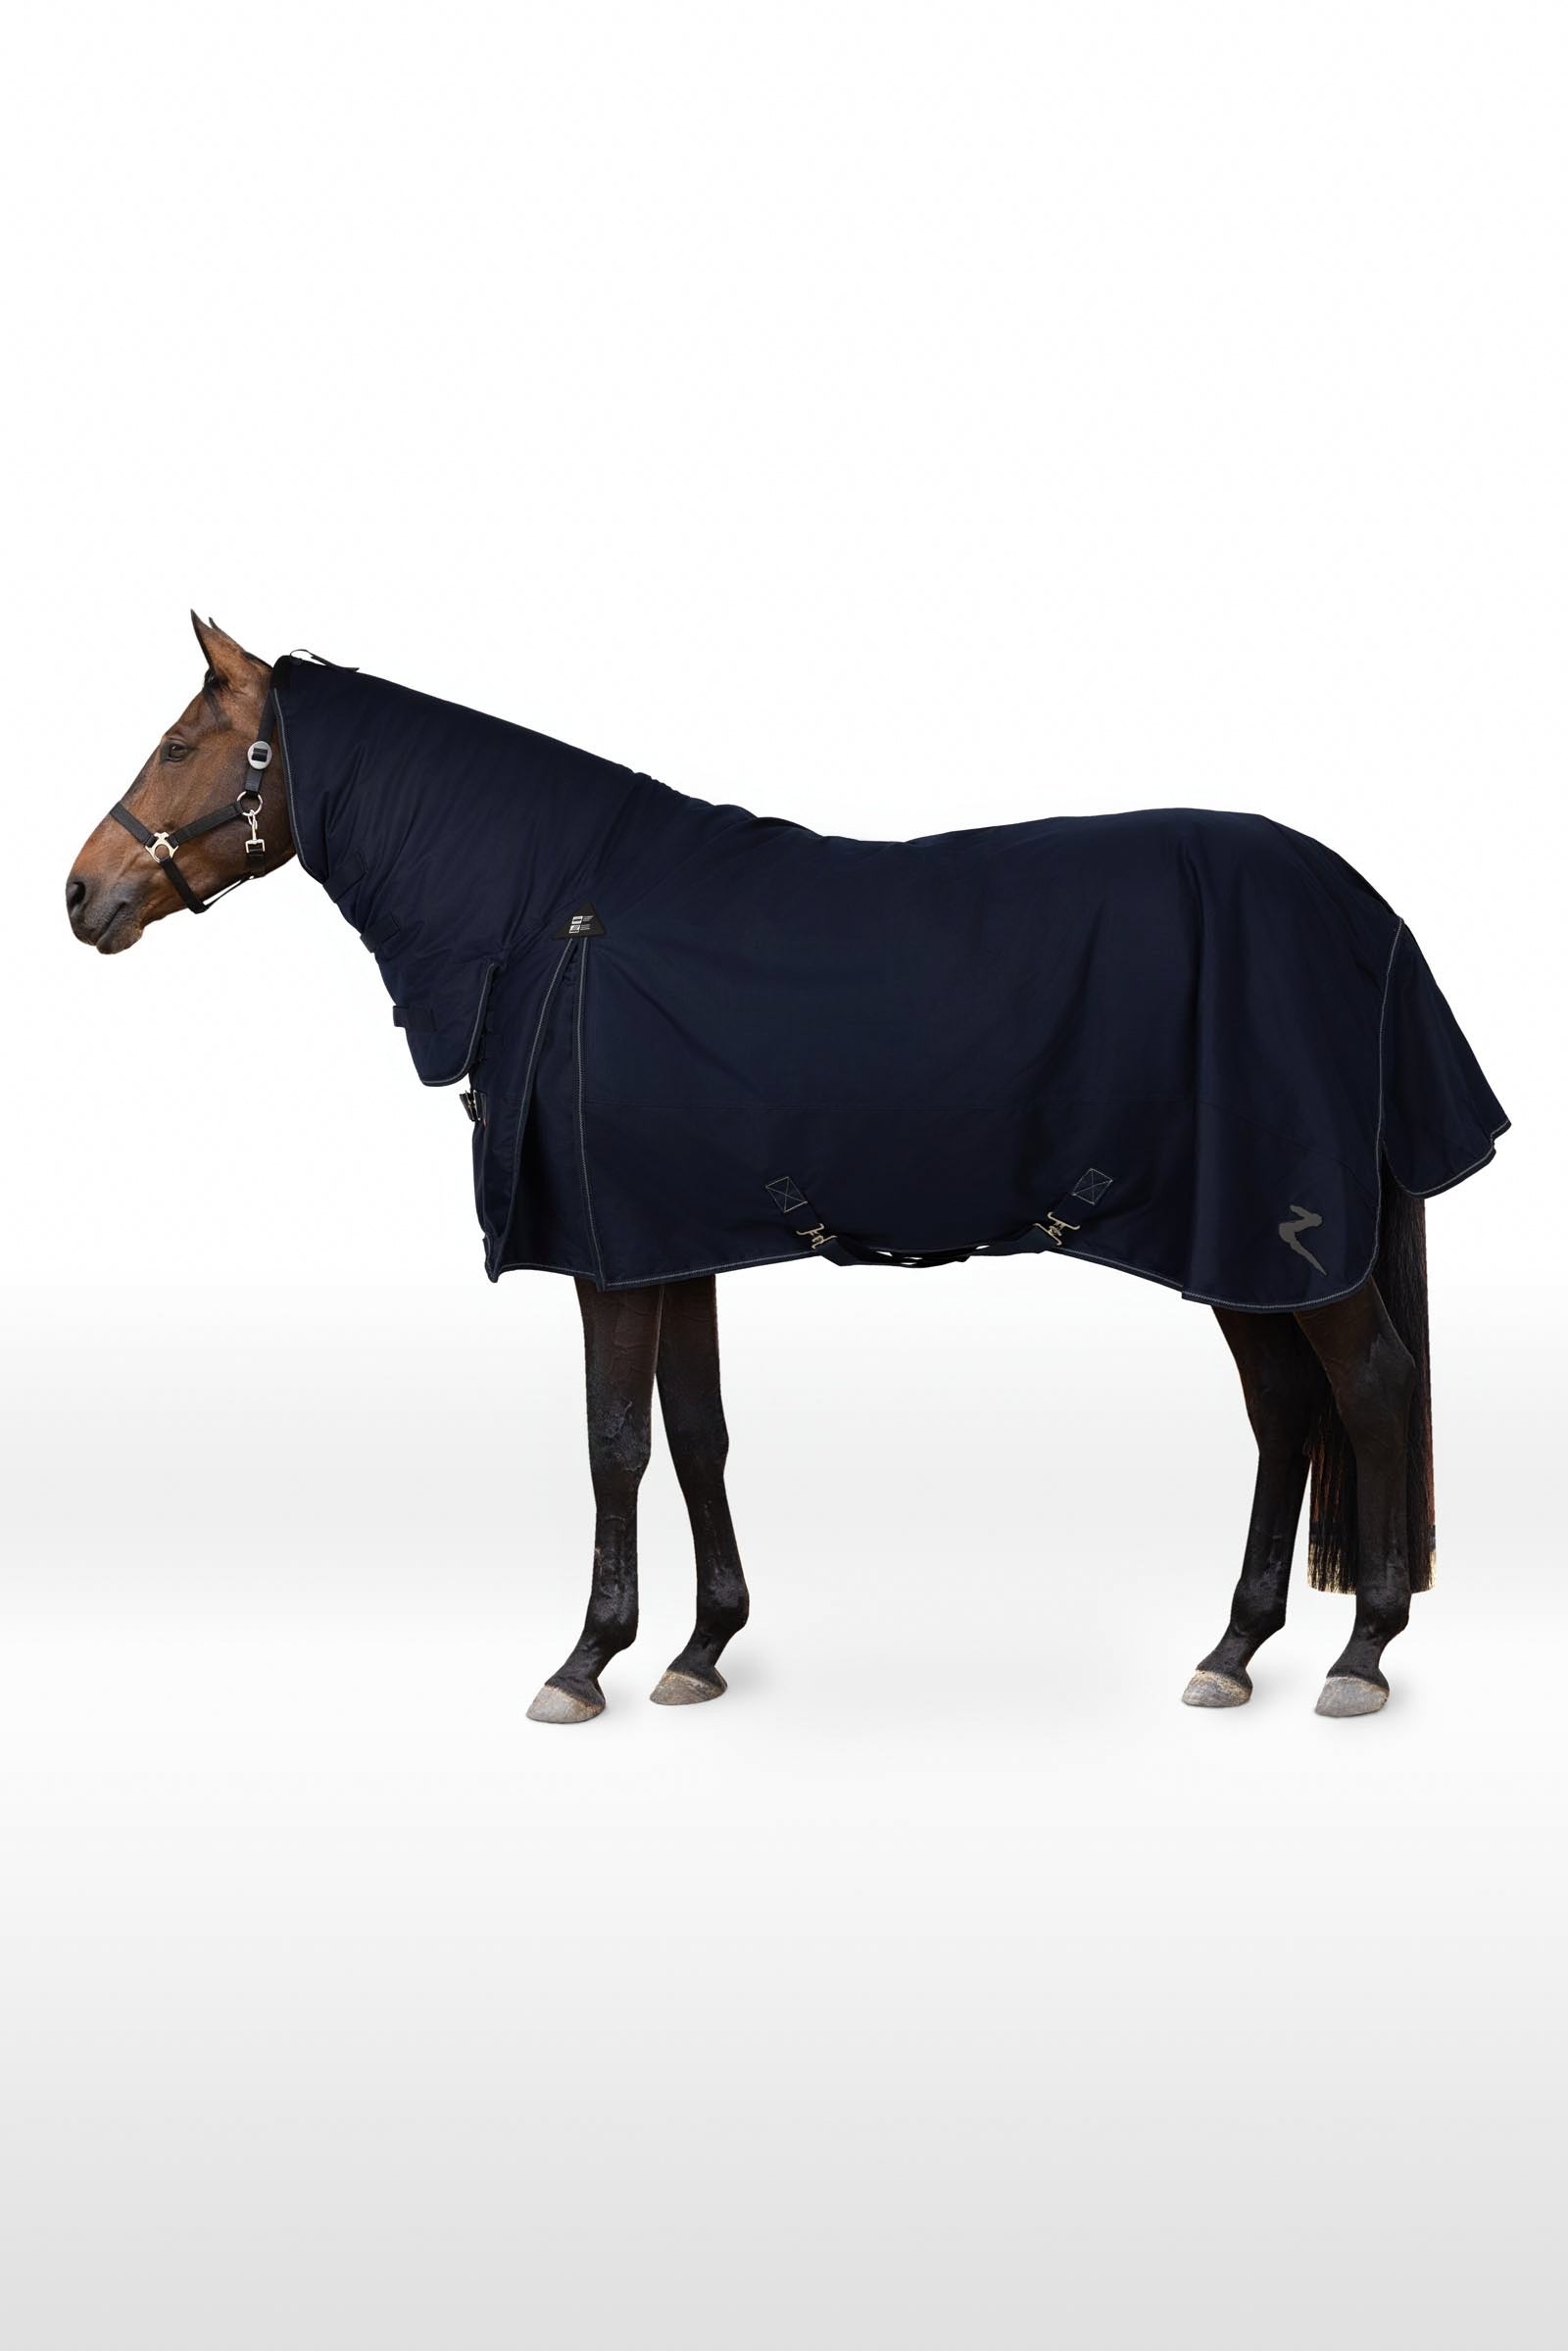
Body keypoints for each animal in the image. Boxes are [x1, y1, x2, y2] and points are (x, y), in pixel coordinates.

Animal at [66, 615, 1508, 1724]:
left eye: (184, 743)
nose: (81, 895)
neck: (558, 912)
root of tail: (1362, 906)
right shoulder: (668, 1238)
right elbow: (695, 1429)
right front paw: (702, 1648)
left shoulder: (603, 1252)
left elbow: (611, 1441)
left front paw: (584, 1661)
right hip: (1235, 1242)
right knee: (1285, 1408)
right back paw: (1235, 1648)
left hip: (1283, 1232)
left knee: (1371, 1389)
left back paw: (1362, 1653)